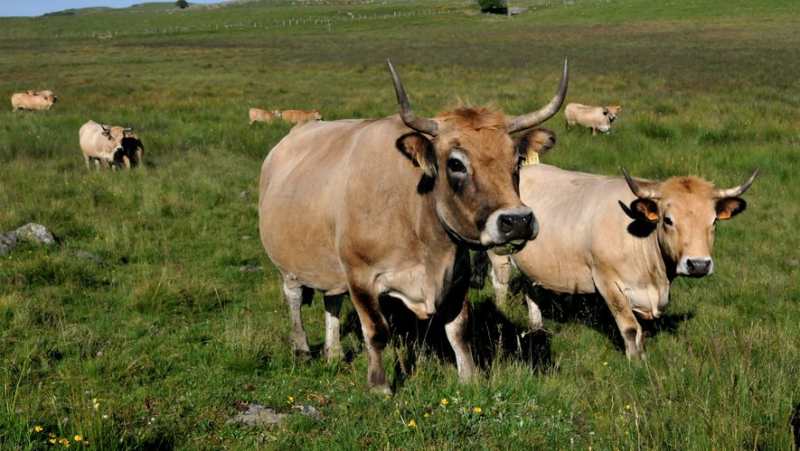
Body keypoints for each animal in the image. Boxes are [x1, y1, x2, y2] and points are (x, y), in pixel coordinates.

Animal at [258, 59, 568, 392]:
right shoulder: (360, 275)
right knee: (294, 296)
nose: (517, 221)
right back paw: (303, 350)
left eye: (517, 160)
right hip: (289, 262)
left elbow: (459, 329)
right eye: (455, 163)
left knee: (333, 299)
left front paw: (469, 377)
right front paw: (379, 385)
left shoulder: (457, 275)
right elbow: (376, 330)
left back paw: (334, 353)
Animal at [472, 164, 760, 358]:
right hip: (499, 253)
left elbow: (642, 330)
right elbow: (630, 327)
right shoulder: (607, 281)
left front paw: (642, 355)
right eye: (668, 220)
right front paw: (635, 363)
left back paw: (537, 324)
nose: (698, 264)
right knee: (501, 282)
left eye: (714, 221)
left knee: (531, 287)